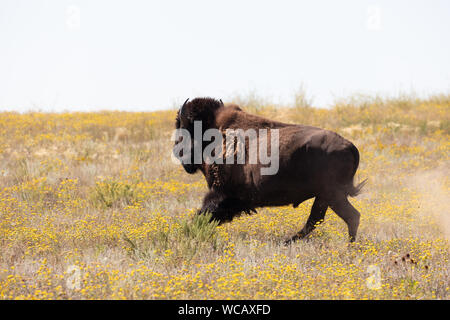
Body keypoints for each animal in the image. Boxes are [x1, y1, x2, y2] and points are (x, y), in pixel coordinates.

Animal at [172, 97, 366, 242]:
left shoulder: (221, 194)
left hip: (332, 194)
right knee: (320, 219)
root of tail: (350, 146)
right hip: (326, 196)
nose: (176, 149)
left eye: (182, 127)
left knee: (347, 216)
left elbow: (202, 214)